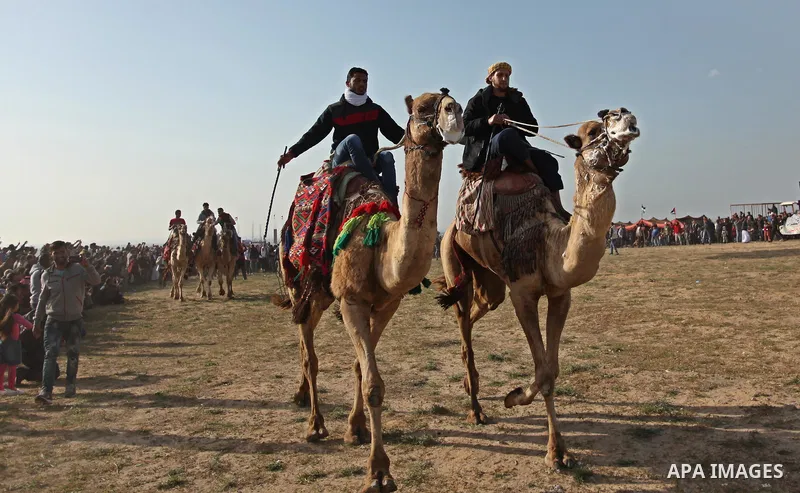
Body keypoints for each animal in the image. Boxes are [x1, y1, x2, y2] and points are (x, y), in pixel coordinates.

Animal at [278, 89, 464, 493]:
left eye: (453, 101)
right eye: (422, 108)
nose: (455, 114)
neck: (382, 248)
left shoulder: (387, 303)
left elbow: (361, 369)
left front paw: (356, 429)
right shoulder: (352, 301)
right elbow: (374, 384)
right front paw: (378, 472)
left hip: (320, 293)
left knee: (306, 341)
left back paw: (301, 397)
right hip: (298, 280)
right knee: (308, 351)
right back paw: (315, 425)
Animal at [434, 108, 640, 470]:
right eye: (591, 132)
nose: (625, 116)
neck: (548, 241)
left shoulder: (560, 294)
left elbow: (551, 369)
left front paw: (519, 400)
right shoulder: (522, 294)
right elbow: (543, 373)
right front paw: (553, 450)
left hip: (490, 281)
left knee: (478, 309)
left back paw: (470, 381)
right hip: (452, 254)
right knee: (461, 315)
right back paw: (475, 409)